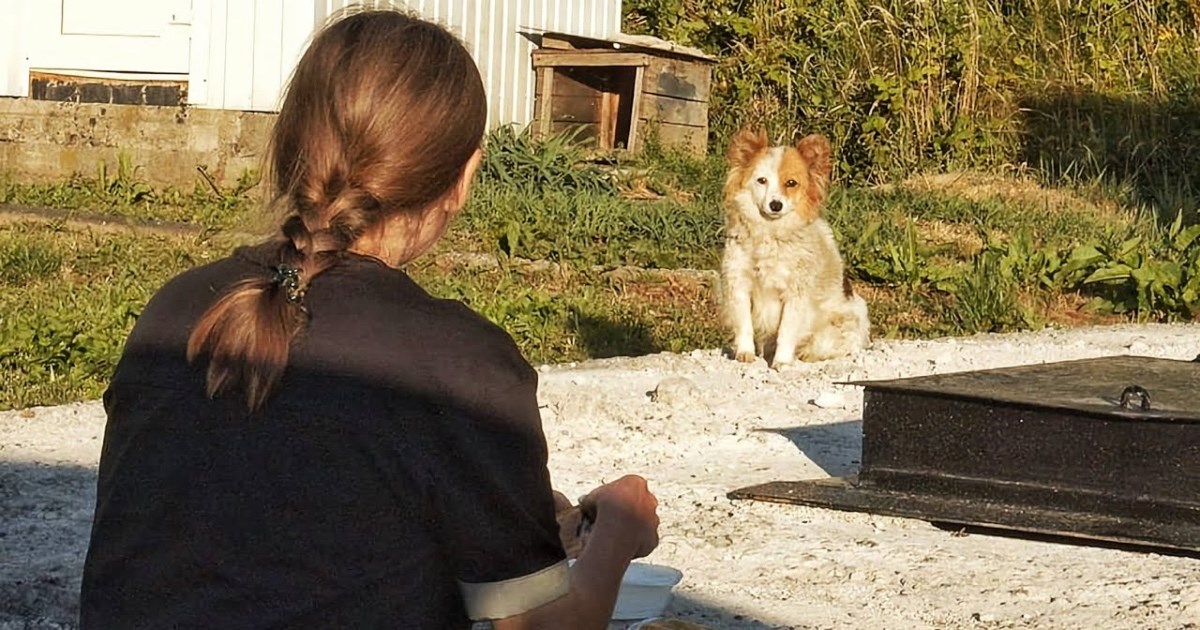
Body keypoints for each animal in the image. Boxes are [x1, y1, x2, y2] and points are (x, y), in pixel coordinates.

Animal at [715, 126, 868, 369]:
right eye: (762, 180)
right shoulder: (738, 283)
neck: (770, 234)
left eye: (791, 183)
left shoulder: (795, 294)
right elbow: (744, 325)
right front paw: (745, 352)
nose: (775, 205)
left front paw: (782, 361)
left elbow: (786, 332)